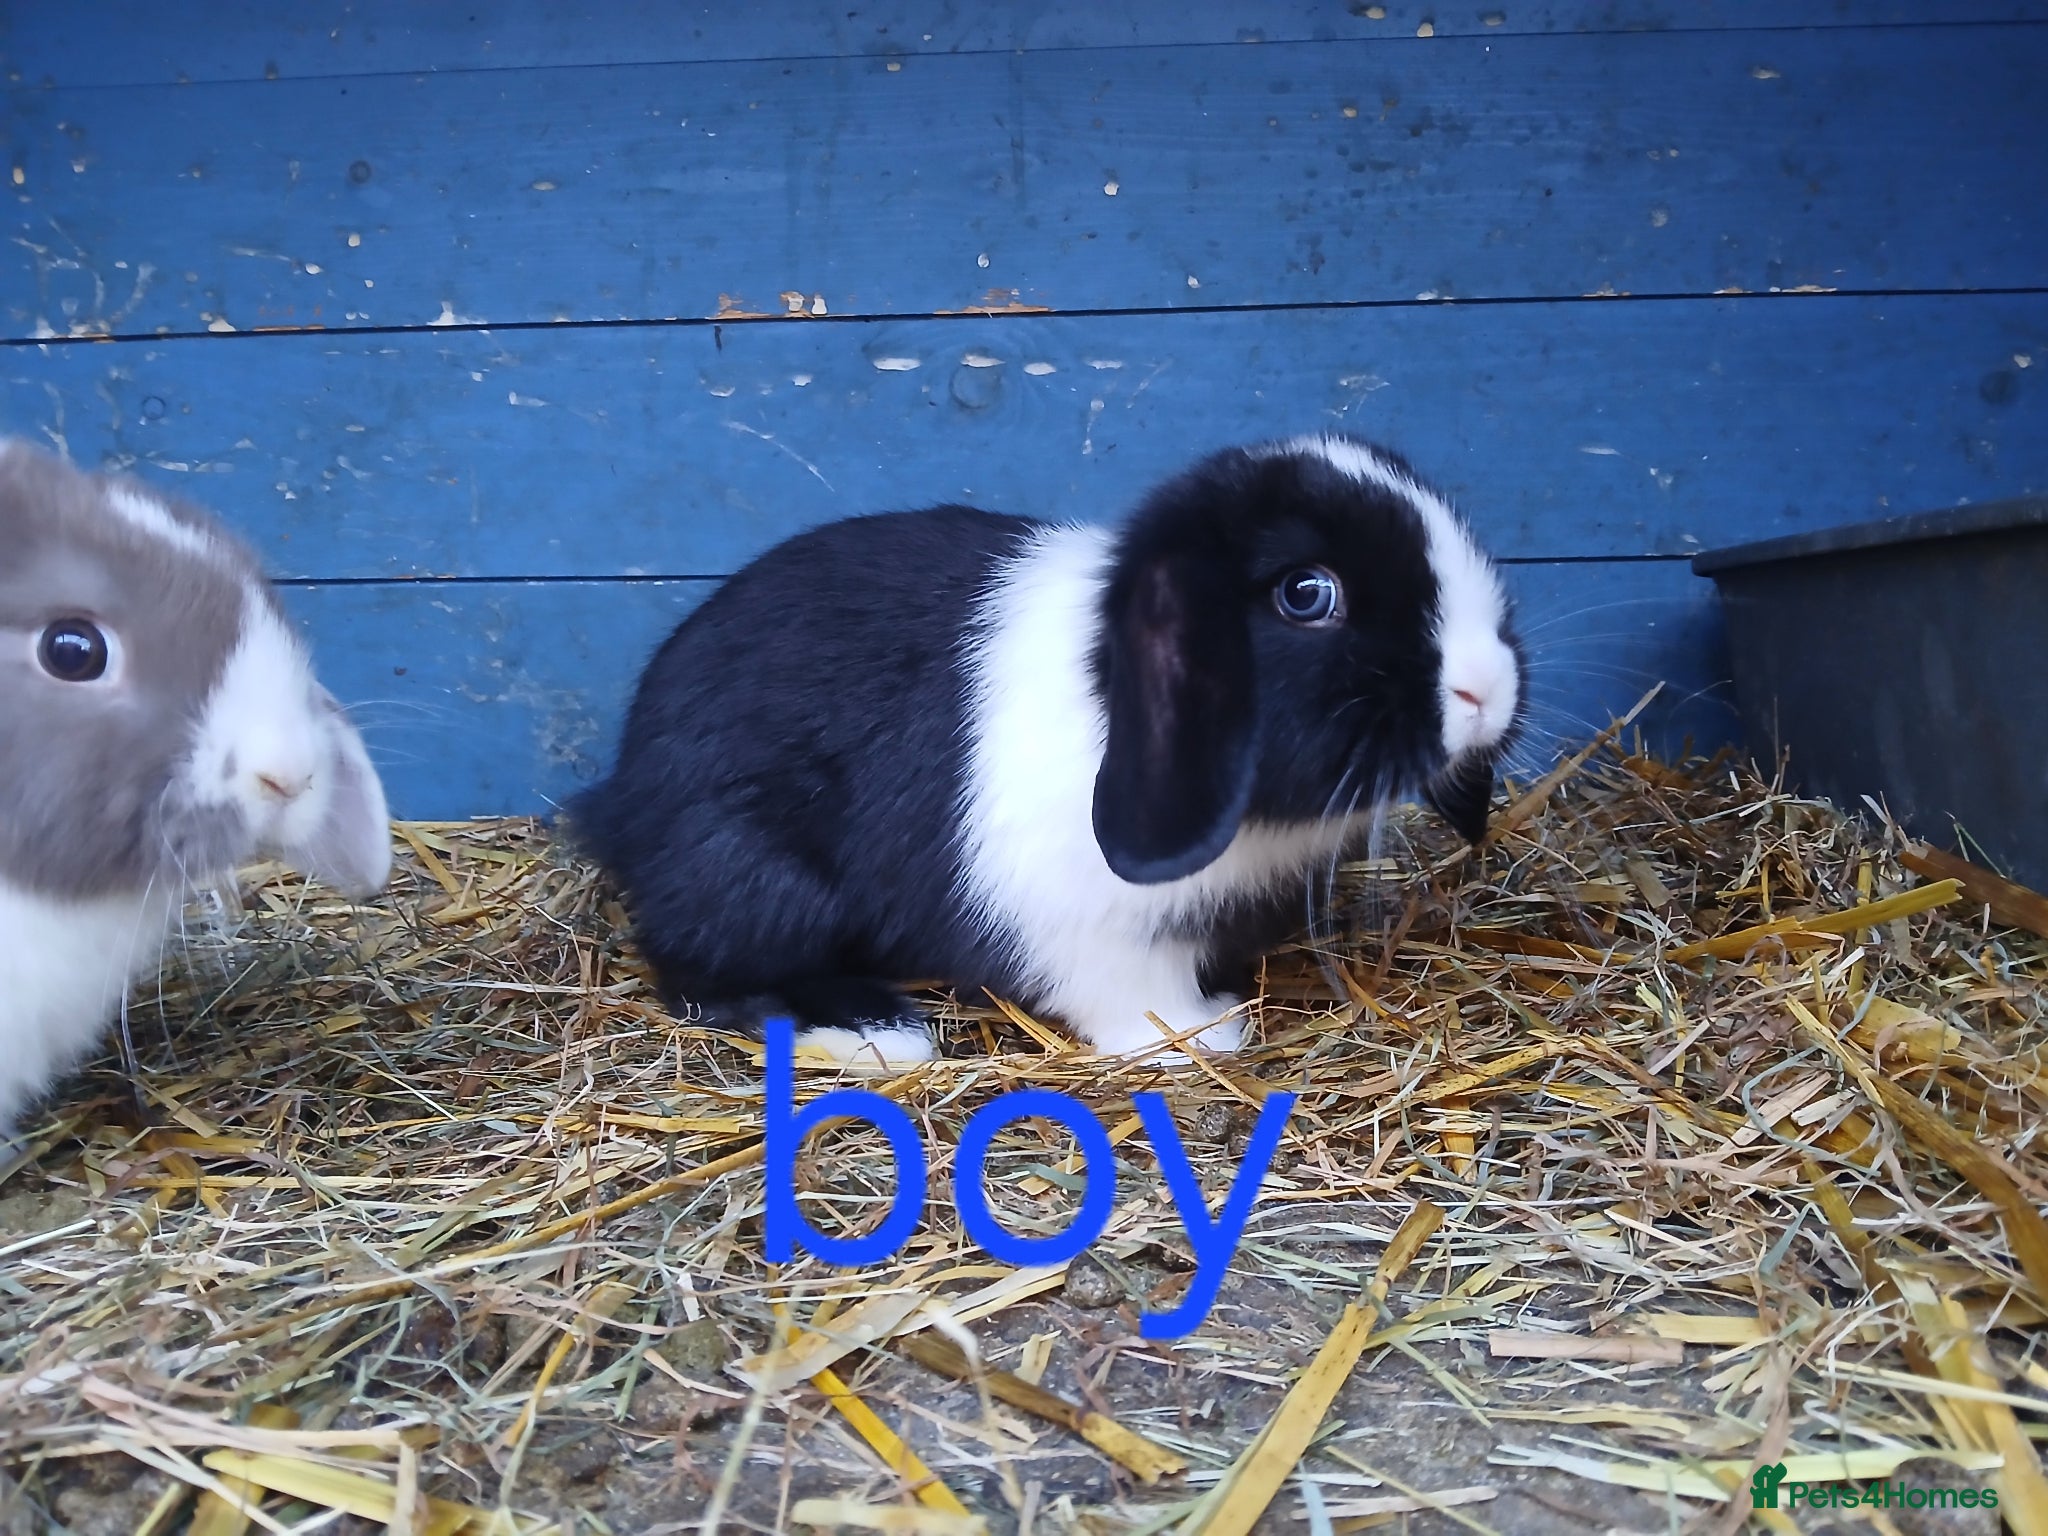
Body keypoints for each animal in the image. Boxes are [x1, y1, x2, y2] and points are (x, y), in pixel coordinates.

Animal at [573, 433, 1523, 1066]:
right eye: (1307, 593)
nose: (1488, 688)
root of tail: (623, 802)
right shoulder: (1088, 931)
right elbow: (1133, 996)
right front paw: (1202, 1035)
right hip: (754, 874)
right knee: (702, 973)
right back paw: (876, 1031)